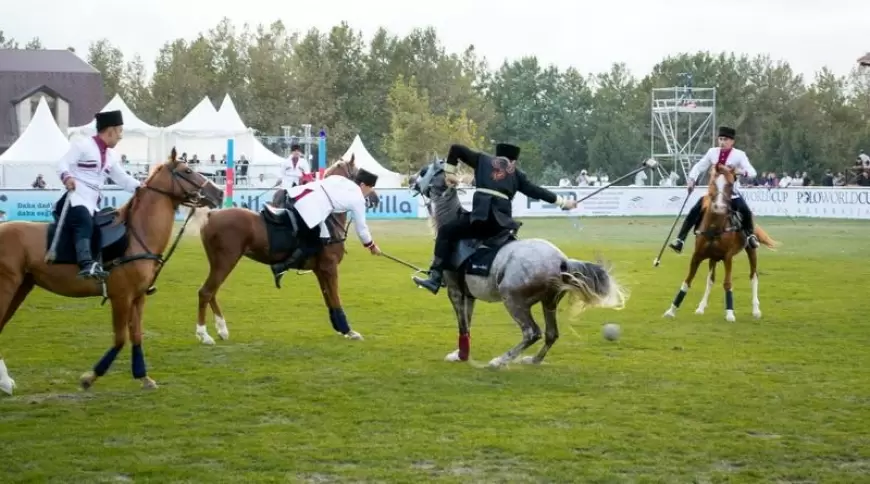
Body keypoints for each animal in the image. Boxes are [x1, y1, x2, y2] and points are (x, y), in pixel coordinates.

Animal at [0, 149, 225, 396]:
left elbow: (136, 335)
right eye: (187, 171)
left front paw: (144, 377)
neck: (137, 236)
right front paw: (89, 377)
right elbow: (119, 339)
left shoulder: (138, 298)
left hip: (21, 288)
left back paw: (5, 382)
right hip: (7, 287)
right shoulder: (121, 297)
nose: (219, 192)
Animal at [196, 156, 376, 344]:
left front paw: (340, 328)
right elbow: (335, 297)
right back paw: (204, 334)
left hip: (218, 262)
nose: (374, 198)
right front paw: (348, 330)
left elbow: (329, 298)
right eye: (356, 172)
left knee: (212, 292)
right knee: (206, 292)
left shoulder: (320, 270)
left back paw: (222, 329)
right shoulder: (329, 267)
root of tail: (211, 215)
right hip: (226, 260)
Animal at [412, 159, 632, 366]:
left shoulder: (455, 291)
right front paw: (460, 354)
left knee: (532, 332)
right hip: (549, 301)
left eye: (423, 171)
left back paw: (500, 361)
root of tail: (561, 260)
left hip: (513, 298)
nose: (412, 180)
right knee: (551, 333)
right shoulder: (469, 295)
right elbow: (467, 322)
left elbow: (463, 324)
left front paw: (462, 355)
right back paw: (533, 360)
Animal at [664, 164, 780, 324]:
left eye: (730, 184)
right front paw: (671, 310)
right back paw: (701, 307)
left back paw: (756, 310)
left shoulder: (727, 257)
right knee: (711, 280)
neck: (714, 227)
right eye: (712, 181)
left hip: (750, 250)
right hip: (713, 258)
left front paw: (730, 313)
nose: (718, 206)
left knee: (753, 276)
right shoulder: (697, 256)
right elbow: (687, 281)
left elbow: (727, 283)